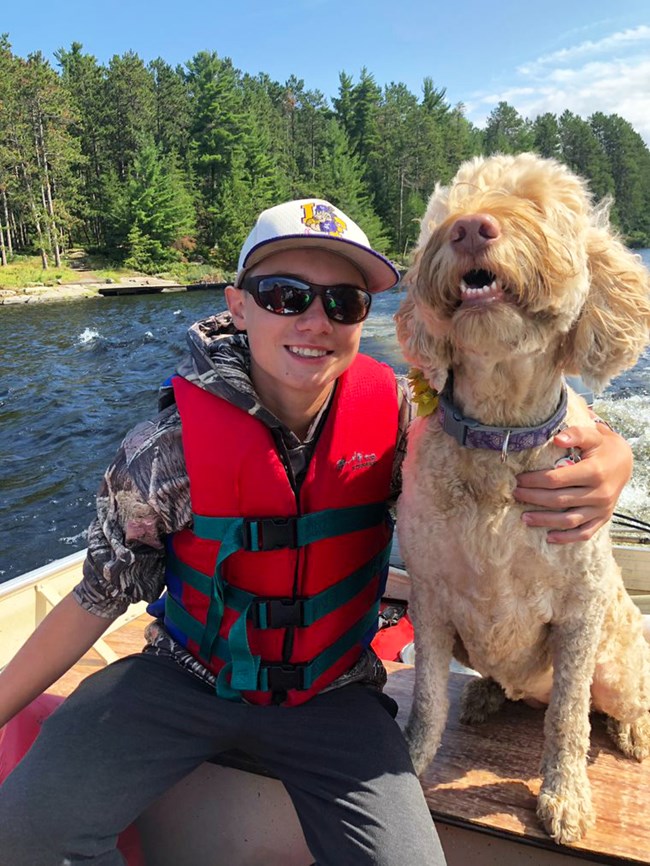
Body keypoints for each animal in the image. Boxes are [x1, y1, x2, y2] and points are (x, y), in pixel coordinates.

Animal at [392, 152, 648, 840]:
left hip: (618, 661)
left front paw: (566, 798)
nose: (469, 229)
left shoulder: (580, 611)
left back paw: (631, 732)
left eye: (536, 202)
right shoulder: (430, 600)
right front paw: (408, 763)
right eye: (447, 212)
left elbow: (567, 719)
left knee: (613, 701)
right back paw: (486, 694)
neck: (502, 437)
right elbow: (427, 699)